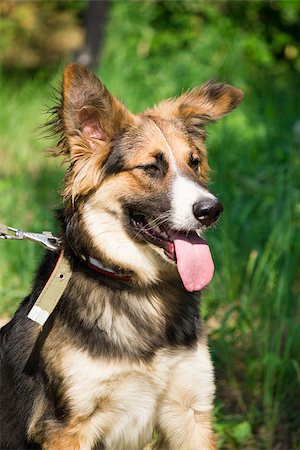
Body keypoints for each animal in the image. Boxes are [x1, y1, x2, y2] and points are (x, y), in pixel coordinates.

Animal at [0, 64, 243, 450]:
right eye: (151, 167)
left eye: (194, 162)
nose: (211, 210)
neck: (141, 290)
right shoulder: (66, 427)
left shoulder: (189, 410)